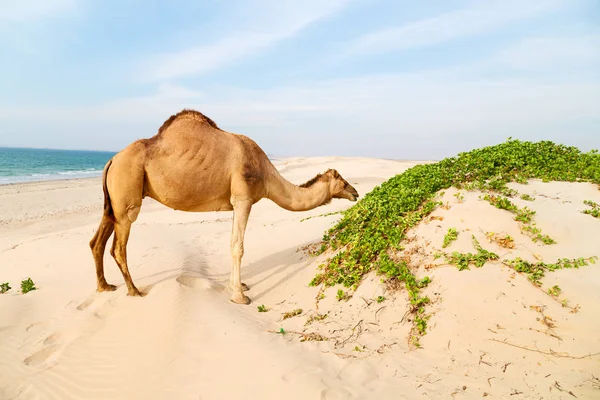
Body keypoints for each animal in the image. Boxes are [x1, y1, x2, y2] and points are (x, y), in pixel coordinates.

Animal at [90, 109, 356, 304]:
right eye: (342, 180)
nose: (355, 192)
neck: (266, 174)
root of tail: (112, 160)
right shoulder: (243, 199)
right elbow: (238, 246)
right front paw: (240, 296)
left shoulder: (235, 203)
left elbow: (231, 243)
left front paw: (238, 286)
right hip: (127, 196)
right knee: (118, 247)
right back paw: (134, 290)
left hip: (111, 203)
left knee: (97, 242)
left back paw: (105, 286)